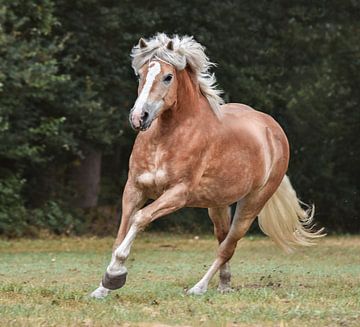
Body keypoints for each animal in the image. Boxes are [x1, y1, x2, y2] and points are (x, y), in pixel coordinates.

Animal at [89, 34, 324, 300]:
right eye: (141, 75)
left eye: (168, 77)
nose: (140, 117)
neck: (166, 137)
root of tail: (272, 129)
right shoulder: (134, 188)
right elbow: (121, 233)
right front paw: (103, 287)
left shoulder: (178, 194)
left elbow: (140, 219)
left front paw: (114, 275)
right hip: (218, 204)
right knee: (223, 240)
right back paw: (224, 284)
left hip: (252, 202)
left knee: (228, 246)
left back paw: (199, 287)